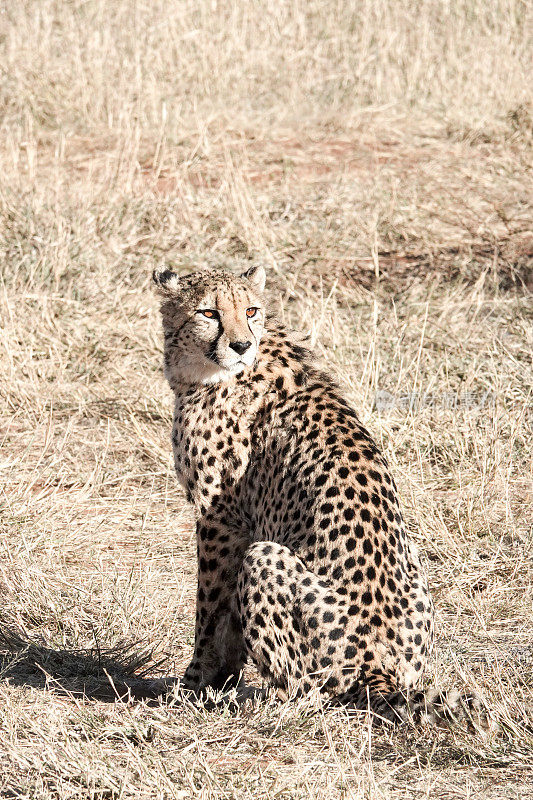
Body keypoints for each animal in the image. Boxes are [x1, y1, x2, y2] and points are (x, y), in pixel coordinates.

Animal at [153, 268, 482, 724]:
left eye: (250, 310)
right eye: (209, 312)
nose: (241, 345)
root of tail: (379, 669)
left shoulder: (221, 518)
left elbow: (210, 606)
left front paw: (198, 680)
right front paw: (217, 680)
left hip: (265, 558)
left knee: (306, 691)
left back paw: (261, 705)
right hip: (412, 558)